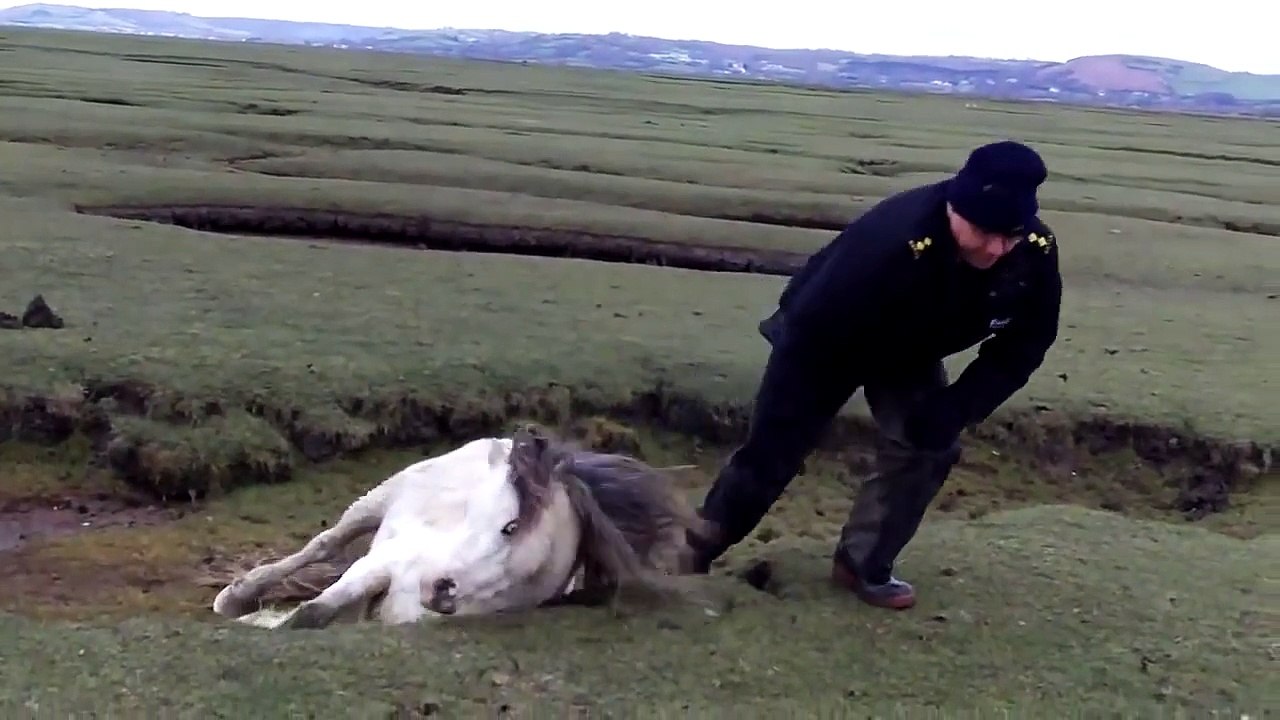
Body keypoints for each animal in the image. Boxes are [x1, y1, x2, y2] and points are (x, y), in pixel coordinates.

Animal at [210, 424, 712, 629]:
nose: (437, 589)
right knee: (324, 544)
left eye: (511, 526)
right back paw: (235, 597)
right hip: (379, 497)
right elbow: (314, 611)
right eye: (476, 513)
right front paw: (256, 618)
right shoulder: (383, 560)